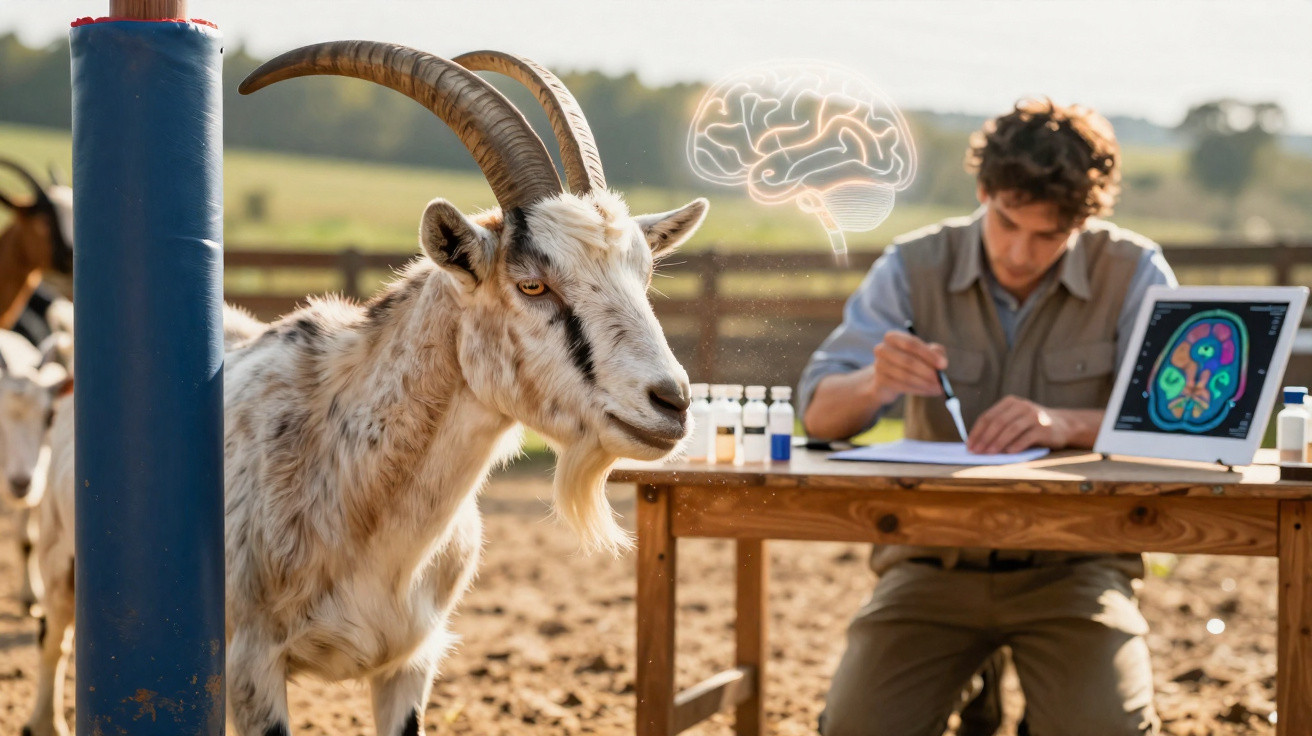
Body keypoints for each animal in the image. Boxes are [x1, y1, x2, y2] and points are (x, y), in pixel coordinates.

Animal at [27, 43, 706, 736]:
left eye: (643, 275)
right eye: (533, 285)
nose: (672, 402)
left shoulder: (410, 662)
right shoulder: (250, 664)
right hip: (58, 554)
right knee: (51, 630)